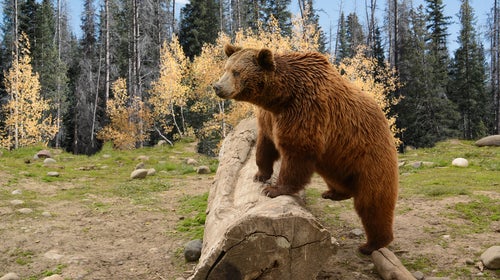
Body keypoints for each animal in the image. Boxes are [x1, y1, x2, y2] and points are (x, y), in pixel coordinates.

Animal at [214, 43, 398, 254]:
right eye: (226, 68)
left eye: (236, 72)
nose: (217, 87)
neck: (280, 98)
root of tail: (385, 121)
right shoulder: (269, 118)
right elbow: (265, 146)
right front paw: (260, 175)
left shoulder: (306, 111)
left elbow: (297, 153)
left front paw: (273, 189)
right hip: (338, 159)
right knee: (337, 178)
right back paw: (334, 193)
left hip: (370, 155)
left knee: (372, 203)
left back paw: (371, 244)